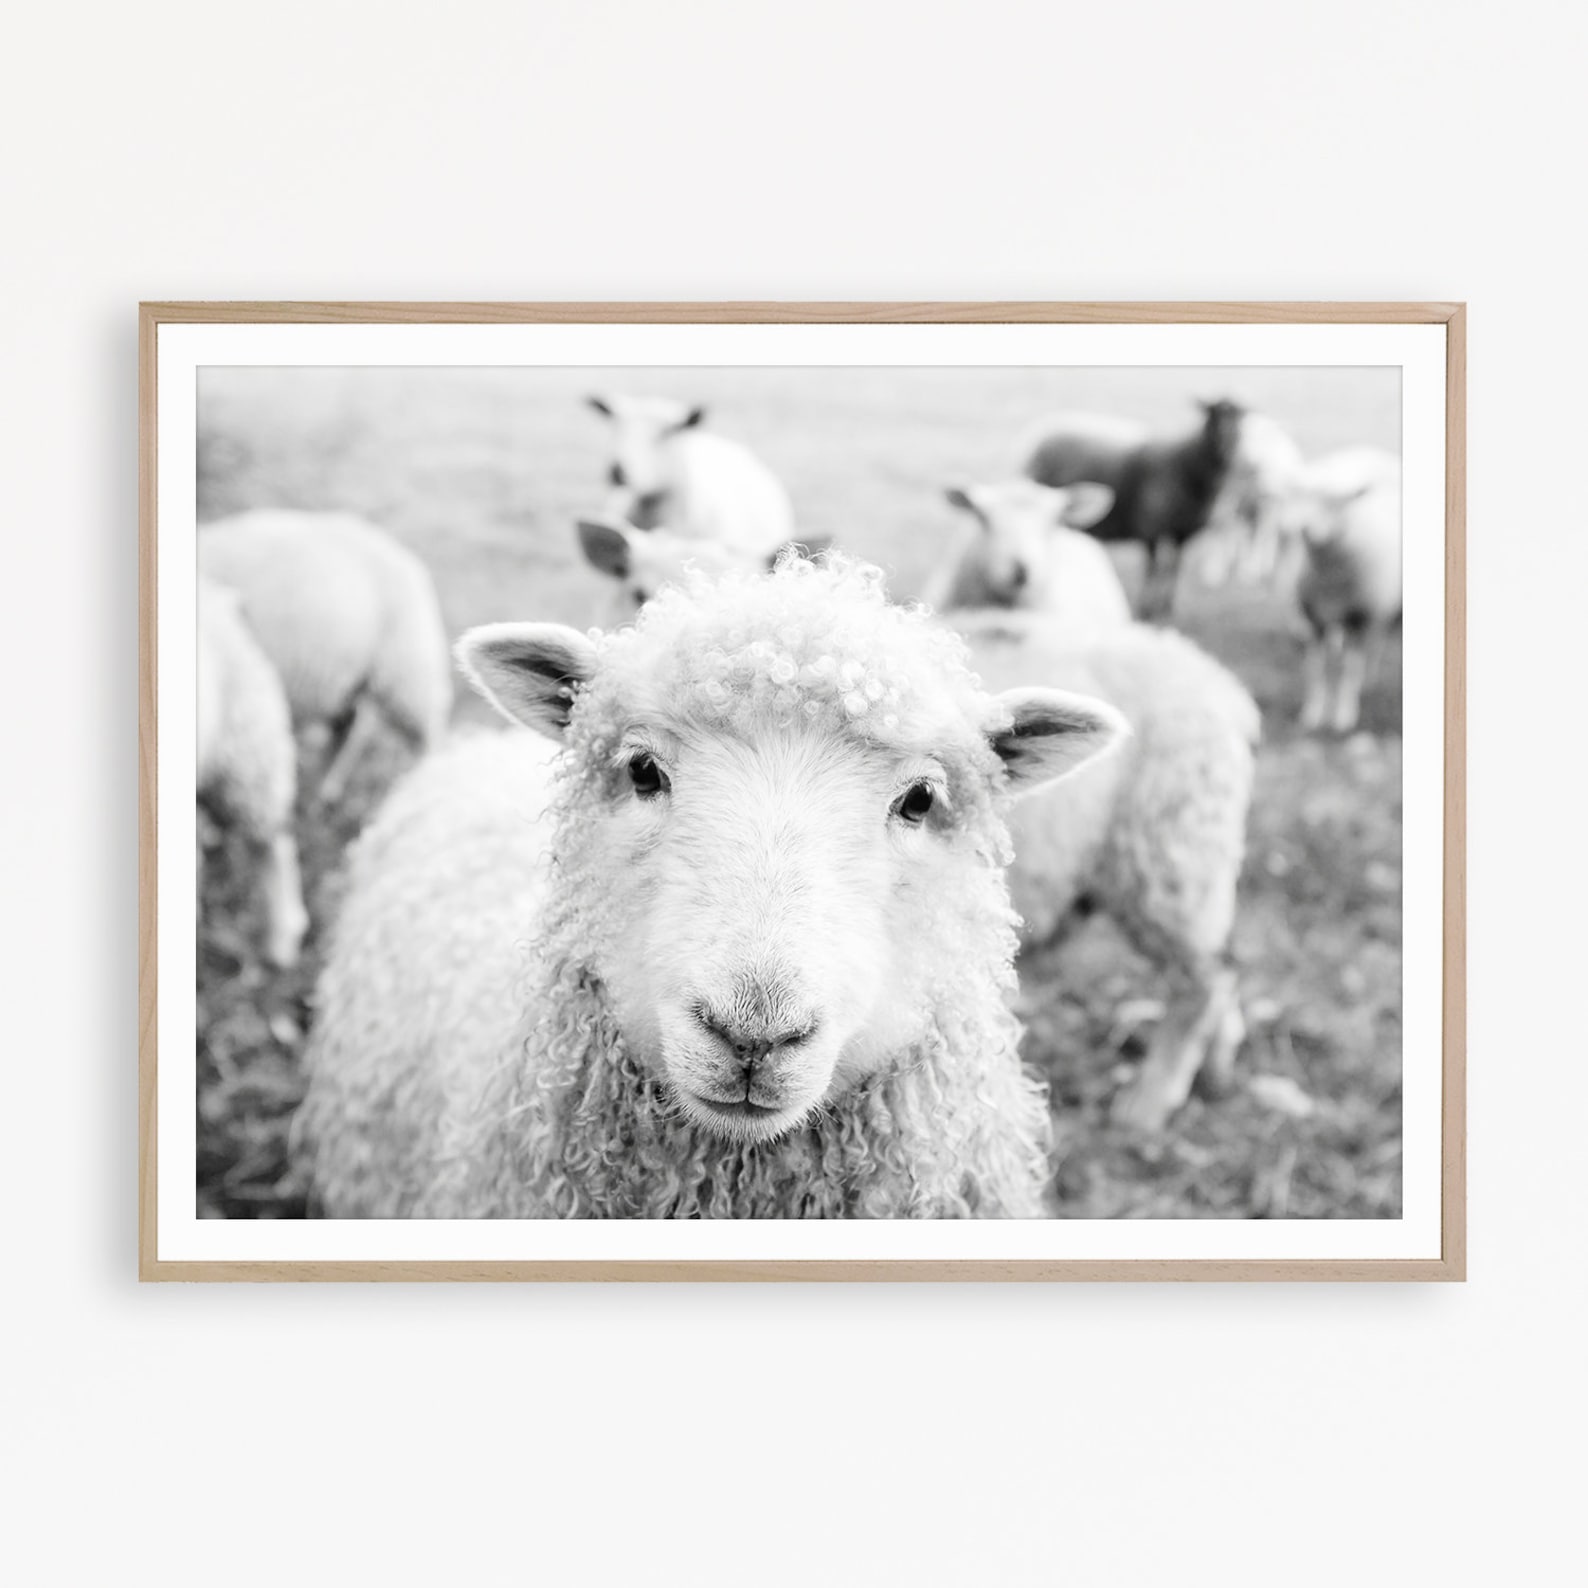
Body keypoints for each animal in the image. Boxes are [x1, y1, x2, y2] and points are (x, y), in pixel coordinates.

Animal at [197, 510, 452, 802]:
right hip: (351, 681)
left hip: (406, 673)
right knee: (346, 729)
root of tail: (404, 556)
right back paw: (323, 791)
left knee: (426, 735)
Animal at [953, 609, 1259, 1131]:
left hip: (1167, 852)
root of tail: (1221, 685)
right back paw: (1217, 1066)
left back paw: (1150, 1102)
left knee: (1205, 978)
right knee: (1224, 964)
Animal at [1023, 400, 1246, 622]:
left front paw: (1167, 608)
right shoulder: (1151, 528)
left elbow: (1174, 568)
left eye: (1240, 420)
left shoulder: (1182, 532)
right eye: (1213, 416)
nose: (1226, 447)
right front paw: (1147, 609)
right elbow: (1153, 569)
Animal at [1283, 447, 1402, 734]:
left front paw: (1344, 717)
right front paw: (1312, 714)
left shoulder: (1360, 617)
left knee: (1374, 646)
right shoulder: (1314, 618)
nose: (1298, 527)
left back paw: (1368, 682)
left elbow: (1350, 670)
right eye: (1298, 495)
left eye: (1333, 502)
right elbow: (1315, 670)